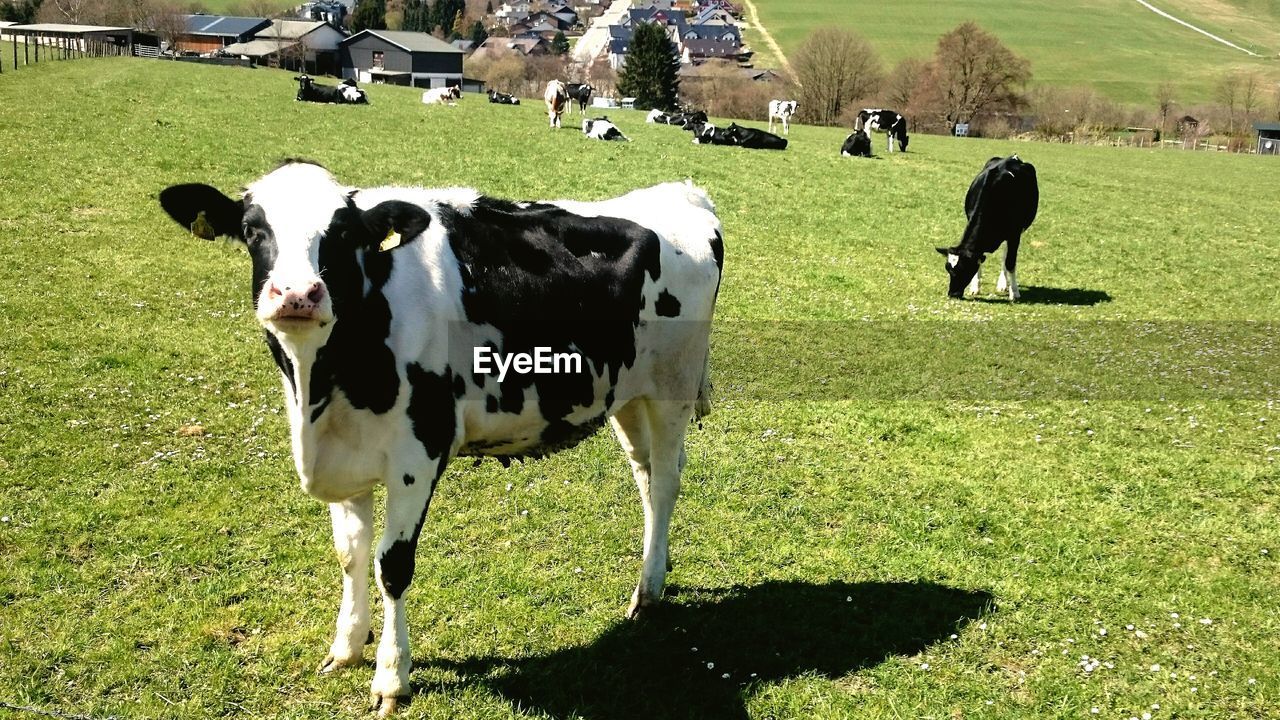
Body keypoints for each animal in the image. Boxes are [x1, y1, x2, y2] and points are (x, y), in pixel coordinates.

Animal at [156, 162, 727, 717]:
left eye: (342, 234)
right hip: (626, 395)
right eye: (254, 231)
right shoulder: (346, 459)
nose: (297, 294)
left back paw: (647, 592)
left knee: (665, 483)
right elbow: (350, 553)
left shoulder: (418, 454)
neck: (321, 388)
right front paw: (346, 647)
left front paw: (391, 677)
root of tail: (679, 192)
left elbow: (391, 565)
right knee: (645, 476)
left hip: (673, 388)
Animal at [942, 154, 1039, 299]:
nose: (952, 294)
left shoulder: (1014, 233)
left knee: (1005, 257)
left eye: (964, 268)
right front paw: (975, 287)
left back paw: (1003, 284)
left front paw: (1014, 292)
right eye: (948, 268)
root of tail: (1013, 157)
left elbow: (1010, 263)